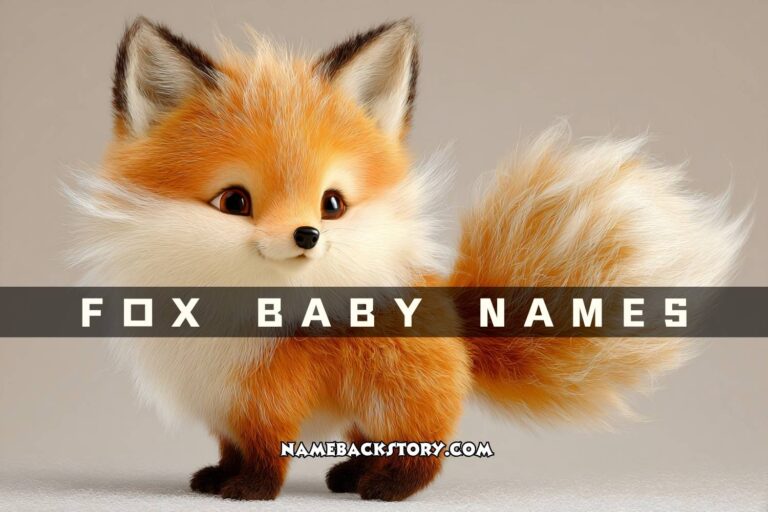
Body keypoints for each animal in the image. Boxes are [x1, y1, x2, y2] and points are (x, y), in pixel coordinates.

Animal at [68, 16, 748, 501]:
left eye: (332, 203)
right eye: (234, 201)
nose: (307, 235)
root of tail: (460, 327)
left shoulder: (268, 403)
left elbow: (267, 457)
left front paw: (249, 492)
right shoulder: (223, 404)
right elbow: (232, 449)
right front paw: (216, 480)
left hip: (400, 398)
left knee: (427, 452)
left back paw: (387, 488)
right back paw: (348, 475)